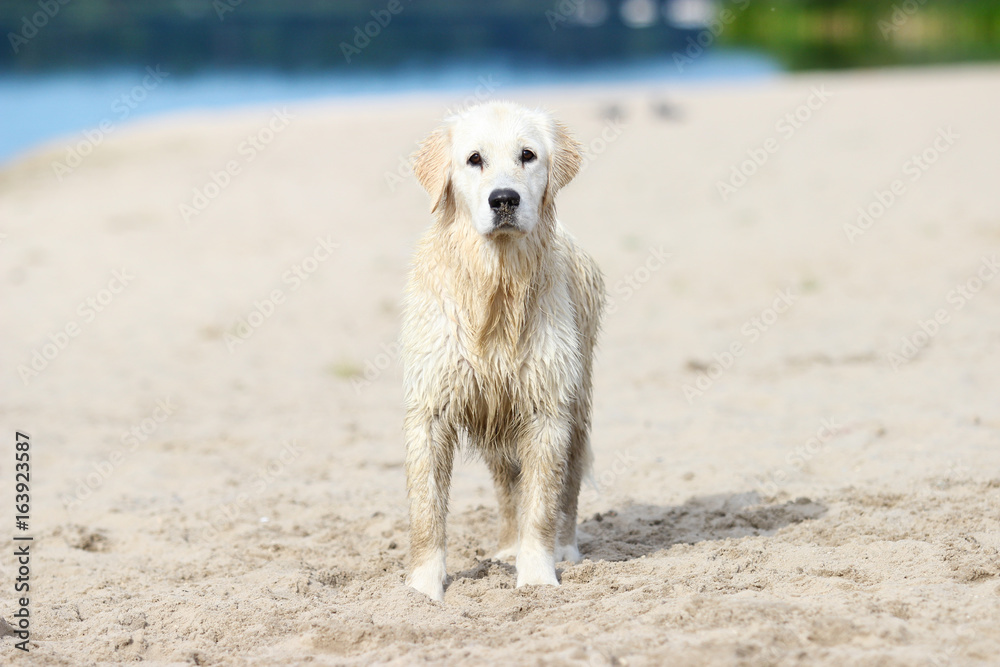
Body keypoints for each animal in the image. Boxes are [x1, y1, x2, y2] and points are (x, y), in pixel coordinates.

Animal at [398, 102, 600, 604]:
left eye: (527, 154)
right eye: (475, 159)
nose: (504, 199)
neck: (496, 287)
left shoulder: (548, 408)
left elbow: (542, 504)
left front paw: (538, 577)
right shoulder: (430, 407)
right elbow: (427, 513)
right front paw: (422, 590)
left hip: (577, 401)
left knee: (567, 486)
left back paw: (565, 550)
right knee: (508, 485)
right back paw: (507, 548)